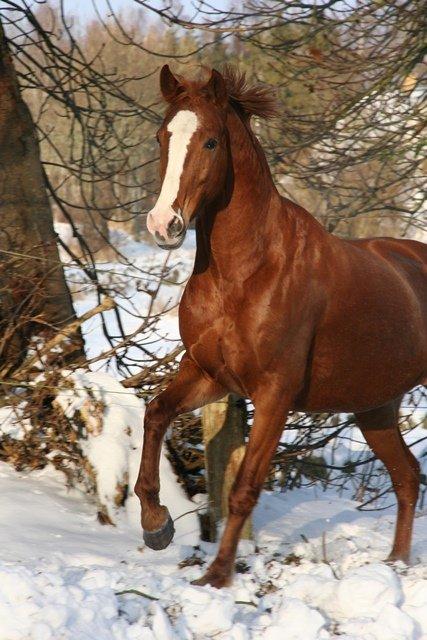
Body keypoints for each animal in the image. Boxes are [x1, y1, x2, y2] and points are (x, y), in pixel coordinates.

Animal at [136, 66, 427, 592]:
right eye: (162, 136)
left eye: (210, 142)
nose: (163, 224)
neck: (246, 273)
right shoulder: (208, 375)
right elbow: (155, 414)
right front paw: (156, 525)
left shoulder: (274, 393)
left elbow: (244, 487)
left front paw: (217, 576)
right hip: (376, 407)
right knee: (407, 476)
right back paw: (396, 563)